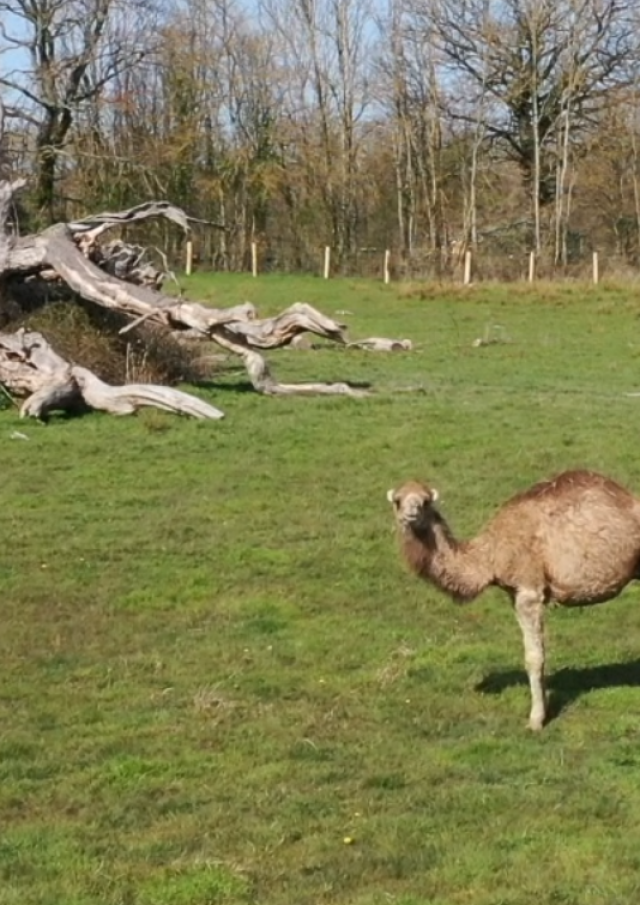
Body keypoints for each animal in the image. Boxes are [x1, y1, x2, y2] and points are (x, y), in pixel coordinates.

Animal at [388, 470, 640, 732]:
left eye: (426, 501)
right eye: (397, 501)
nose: (411, 514)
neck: (489, 556)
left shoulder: (529, 591)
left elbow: (534, 657)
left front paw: (536, 720)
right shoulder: (513, 592)